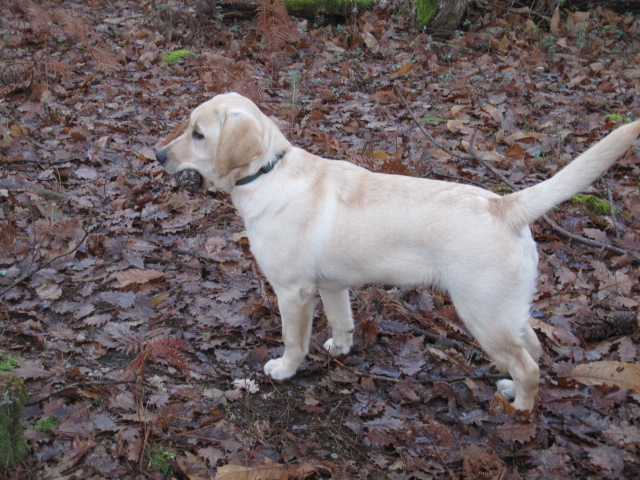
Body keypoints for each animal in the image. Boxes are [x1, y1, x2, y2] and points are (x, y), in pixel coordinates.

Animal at [155, 92, 640, 410]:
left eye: (198, 134)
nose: (158, 155)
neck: (267, 172)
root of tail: (506, 205)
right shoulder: (331, 287)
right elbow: (343, 321)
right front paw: (340, 347)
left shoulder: (293, 292)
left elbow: (294, 340)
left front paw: (284, 369)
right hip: (505, 310)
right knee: (534, 347)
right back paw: (510, 390)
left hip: (481, 312)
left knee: (530, 367)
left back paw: (518, 408)